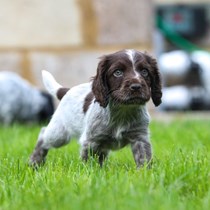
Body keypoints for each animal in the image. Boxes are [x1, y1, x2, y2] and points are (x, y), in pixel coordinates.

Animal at [28, 48, 162, 167]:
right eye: (118, 72)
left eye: (145, 72)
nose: (136, 86)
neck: (123, 110)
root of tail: (68, 90)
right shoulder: (91, 140)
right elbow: (88, 162)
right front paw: (89, 173)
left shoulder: (140, 137)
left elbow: (143, 159)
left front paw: (144, 173)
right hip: (59, 133)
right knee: (43, 135)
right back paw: (35, 162)